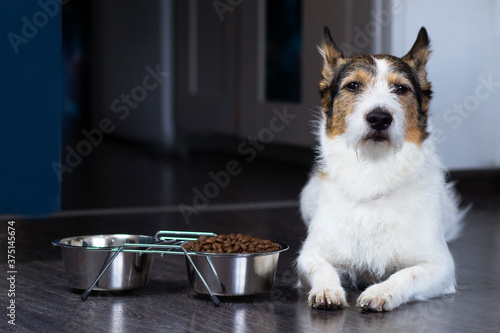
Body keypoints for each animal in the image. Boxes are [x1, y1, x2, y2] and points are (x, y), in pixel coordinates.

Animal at [294, 26, 466, 312]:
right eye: (353, 85)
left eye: (401, 88)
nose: (379, 118)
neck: (373, 171)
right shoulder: (309, 254)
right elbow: (320, 267)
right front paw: (327, 290)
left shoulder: (440, 265)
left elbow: (407, 274)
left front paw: (381, 291)